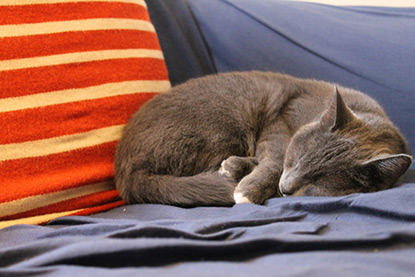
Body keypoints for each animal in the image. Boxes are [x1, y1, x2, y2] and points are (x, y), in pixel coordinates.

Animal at [114, 71, 412, 205]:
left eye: (320, 181)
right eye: (297, 158)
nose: (286, 187)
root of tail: (124, 172)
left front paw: (238, 170)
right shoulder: (277, 123)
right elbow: (275, 158)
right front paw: (246, 188)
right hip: (224, 123)